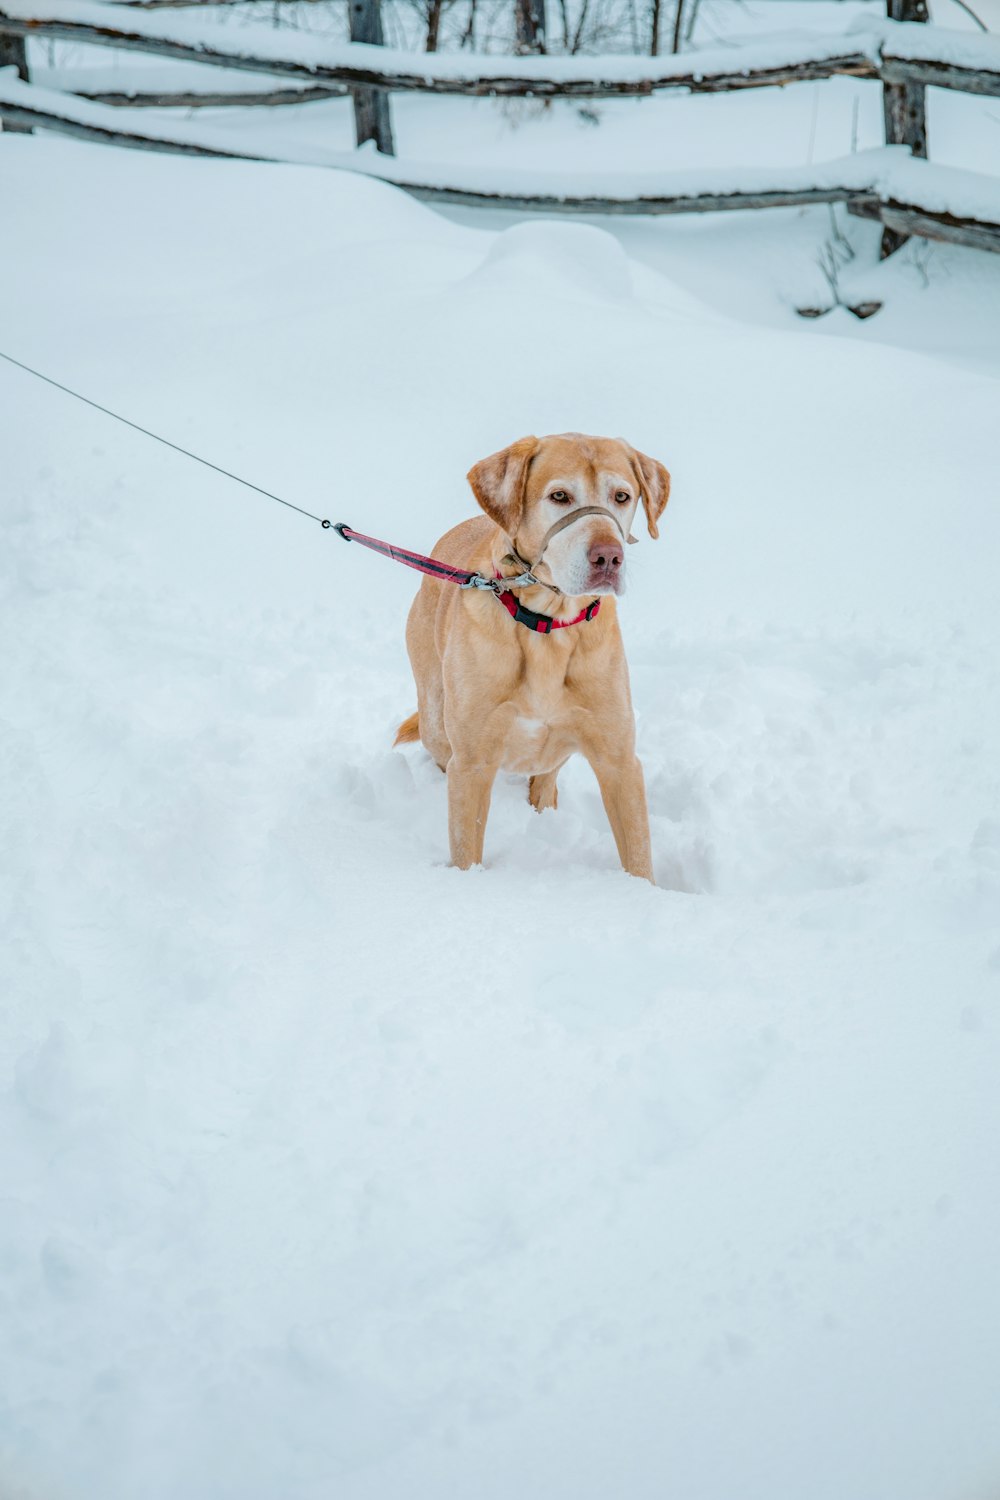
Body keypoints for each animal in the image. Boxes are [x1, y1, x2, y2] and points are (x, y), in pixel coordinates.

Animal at [395, 432, 668, 876]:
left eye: (622, 496)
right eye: (559, 495)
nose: (609, 557)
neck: (547, 625)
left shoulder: (620, 761)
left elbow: (639, 856)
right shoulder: (472, 764)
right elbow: (466, 847)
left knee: (547, 772)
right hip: (436, 716)